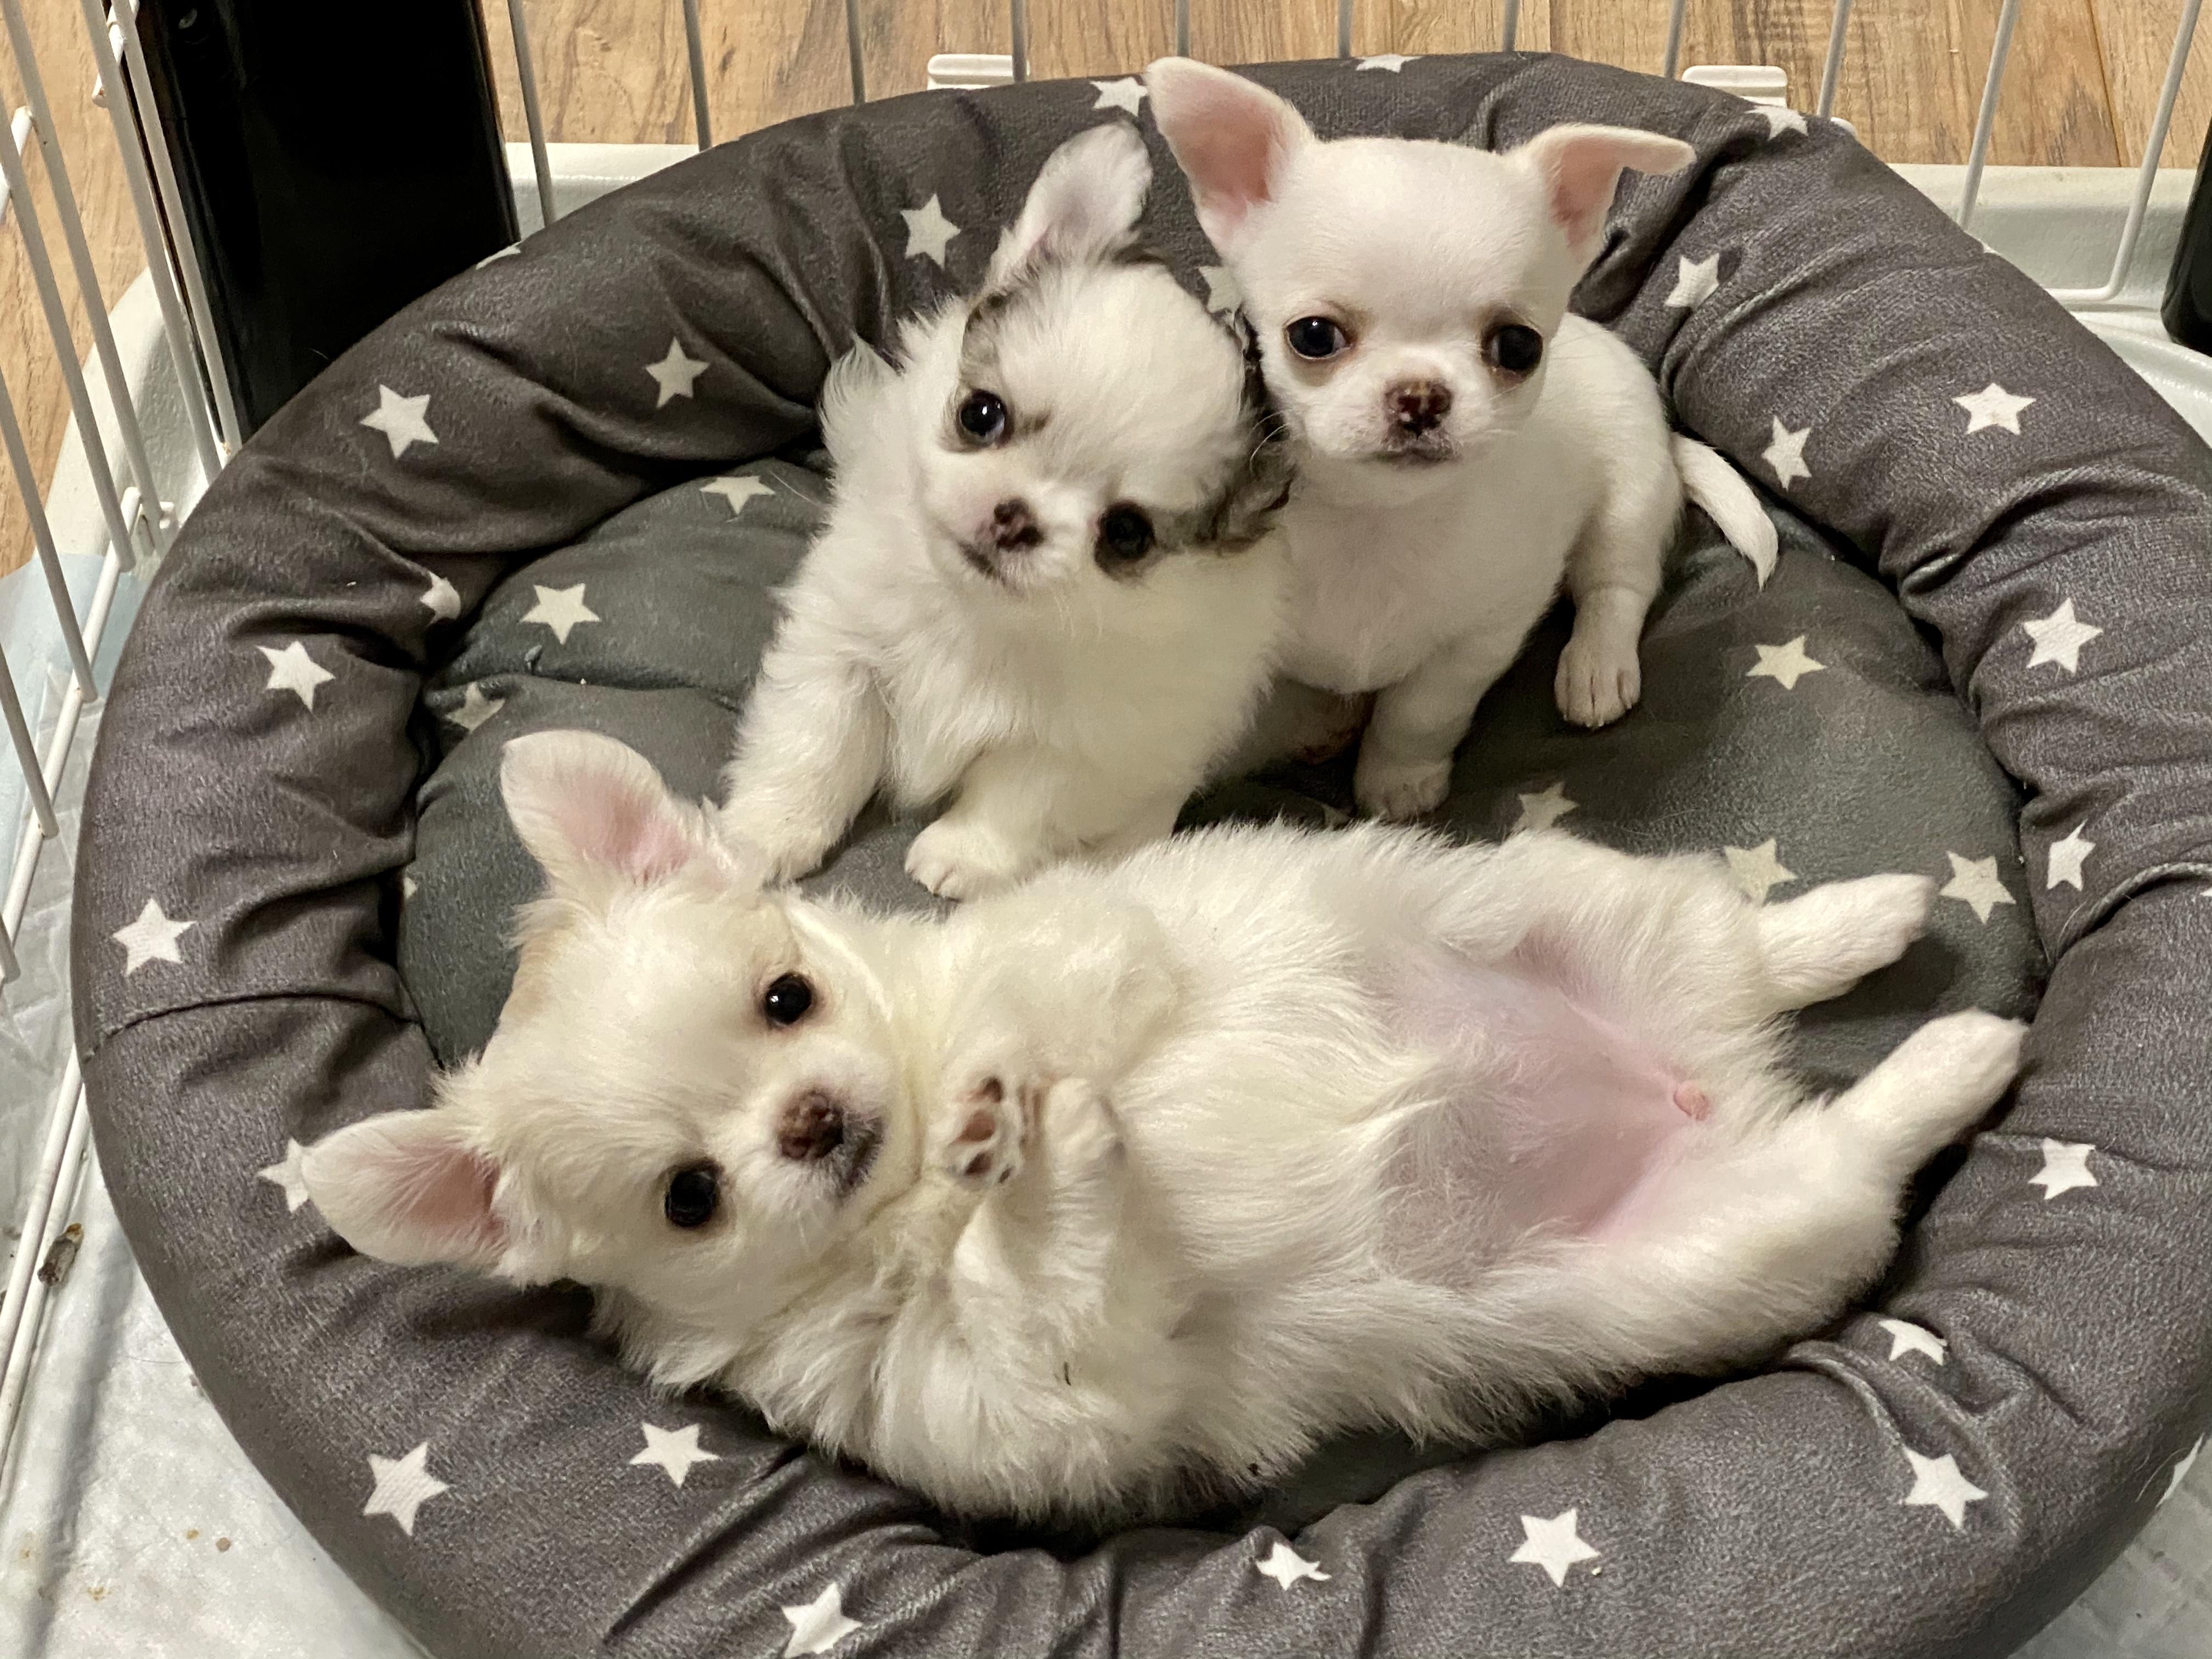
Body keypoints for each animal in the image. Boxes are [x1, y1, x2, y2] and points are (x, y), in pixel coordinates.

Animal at [304, 731, 2024, 1526]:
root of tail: (1699, 1068)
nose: (814, 1119)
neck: (909, 1198)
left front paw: (1007, 1104)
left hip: (1547, 896)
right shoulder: (1006, 1401)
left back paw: (1885, 937)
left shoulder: (1080, 943)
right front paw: (1047, 1170)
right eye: (688, 1198)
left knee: (1743, 939)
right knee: (1853, 1150)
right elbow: (1042, 1306)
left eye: (788, 999)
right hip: (1718, 1250)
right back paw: (1949, 1047)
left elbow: (1035, 1009)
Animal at [716, 121, 1290, 900]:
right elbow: (813, 747)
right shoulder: (840, 654)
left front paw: (960, 856)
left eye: (1127, 534)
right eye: (981, 415)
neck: (980, 615)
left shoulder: (1088, 743)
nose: (1015, 516)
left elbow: (1018, 797)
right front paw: (765, 834)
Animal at [1146, 59, 1778, 819]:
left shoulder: (1478, 642)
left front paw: (1398, 783)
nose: (1420, 396)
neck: (1375, 521)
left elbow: (1419, 715)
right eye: (1313, 336)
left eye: (1517, 346)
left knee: (1617, 586)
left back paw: (1596, 667)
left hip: (1627, 500)